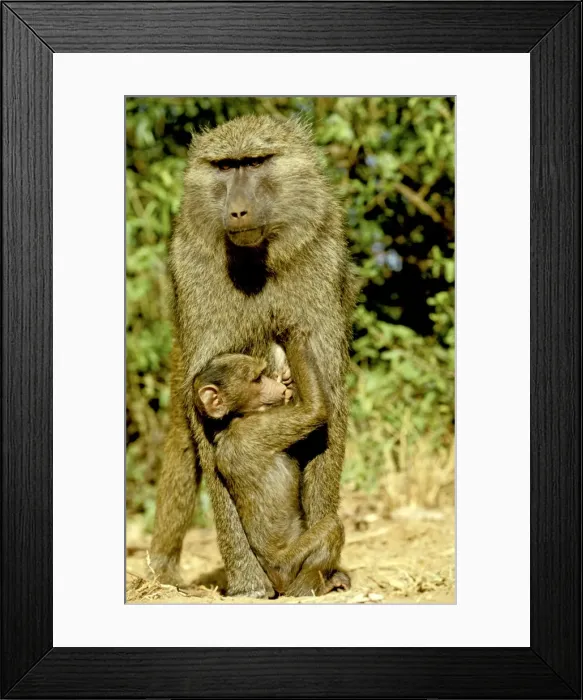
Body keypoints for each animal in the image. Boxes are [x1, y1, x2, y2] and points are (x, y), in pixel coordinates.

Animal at [194, 338, 351, 597]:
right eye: (257, 378)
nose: (278, 387)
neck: (233, 420)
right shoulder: (258, 429)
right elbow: (314, 411)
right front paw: (295, 336)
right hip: (287, 565)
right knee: (331, 527)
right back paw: (313, 588)